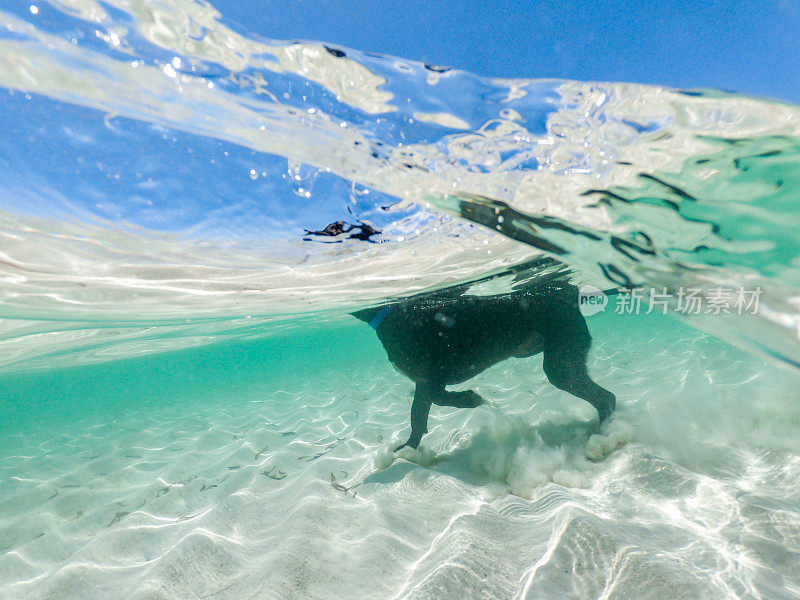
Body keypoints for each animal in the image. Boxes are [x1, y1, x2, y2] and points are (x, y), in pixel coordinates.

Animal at [354, 266, 616, 450]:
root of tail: (568, 295)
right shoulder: (423, 382)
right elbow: (417, 416)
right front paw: (409, 448)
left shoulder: (434, 375)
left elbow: (439, 398)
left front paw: (469, 399)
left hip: (561, 367)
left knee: (606, 397)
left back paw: (603, 433)